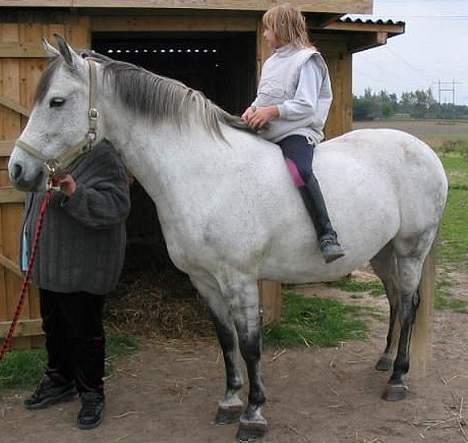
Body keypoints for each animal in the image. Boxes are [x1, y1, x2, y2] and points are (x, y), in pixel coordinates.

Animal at [6, 38, 446, 443]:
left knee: (409, 305)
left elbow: (250, 344)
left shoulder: (239, 279)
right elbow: (225, 339)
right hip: (382, 253)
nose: (18, 169)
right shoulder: (203, 280)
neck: (205, 173)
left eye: (57, 101)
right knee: (395, 301)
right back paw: (385, 362)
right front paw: (231, 400)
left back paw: (398, 379)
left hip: (410, 249)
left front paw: (253, 414)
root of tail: (425, 152)